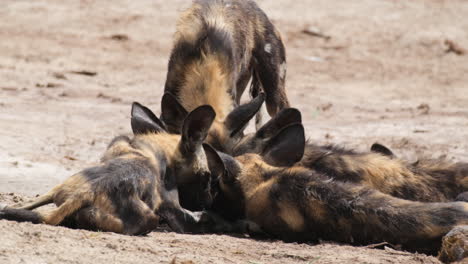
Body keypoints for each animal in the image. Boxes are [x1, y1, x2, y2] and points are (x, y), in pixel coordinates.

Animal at [0, 102, 225, 234]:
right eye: (206, 177)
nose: (210, 200)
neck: (160, 153)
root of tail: (85, 193)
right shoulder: (171, 206)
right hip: (149, 219)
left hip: (53, 191)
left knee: (16, 208)